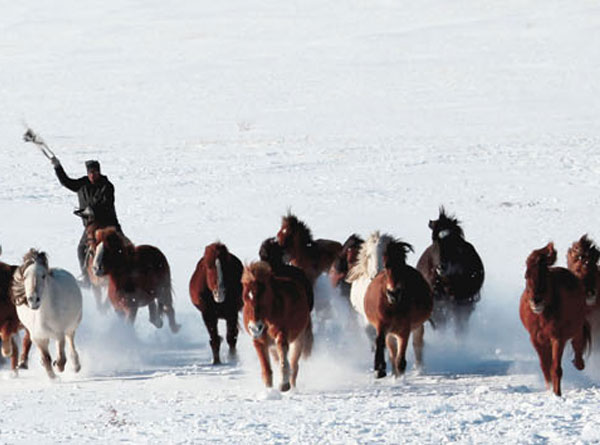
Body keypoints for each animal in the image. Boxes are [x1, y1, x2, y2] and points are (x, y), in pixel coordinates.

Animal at [12, 248, 82, 376]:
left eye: (43, 276)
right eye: (24, 277)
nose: (34, 299)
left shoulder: (59, 333)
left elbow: (61, 358)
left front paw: (58, 367)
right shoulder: (37, 337)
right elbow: (46, 358)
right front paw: (53, 377)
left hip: (72, 326)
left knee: (70, 341)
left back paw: (76, 366)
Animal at [241, 262, 314, 390]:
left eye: (263, 297)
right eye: (245, 299)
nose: (255, 328)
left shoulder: (282, 334)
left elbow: (284, 358)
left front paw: (284, 385)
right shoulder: (259, 341)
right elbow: (266, 369)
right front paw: (269, 390)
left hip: (299, 337)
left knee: (294, 364)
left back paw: (292, 387)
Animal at [360, 239, 432, 378]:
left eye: (402, 265)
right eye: (386, 266)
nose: (393, 293)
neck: (393, 305)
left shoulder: (404, 330)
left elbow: (401, 360)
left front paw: (400, 377)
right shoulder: (382, 325)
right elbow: (380, 343)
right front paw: (380, 369)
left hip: (416, 327)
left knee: (417, 344)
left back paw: (417, 368)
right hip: (391, 333)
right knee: (392, 351)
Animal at [520, 243, 592, 396]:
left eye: (545, 276)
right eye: (526, 275)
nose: (536, 301)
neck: (542, 316)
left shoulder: (558, 338)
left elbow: (556, 368)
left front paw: (557, 394)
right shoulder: (536, 339)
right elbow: (545, 367)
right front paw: (550, 390)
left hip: (576, 327)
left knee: (577, 343)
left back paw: (579, 364)